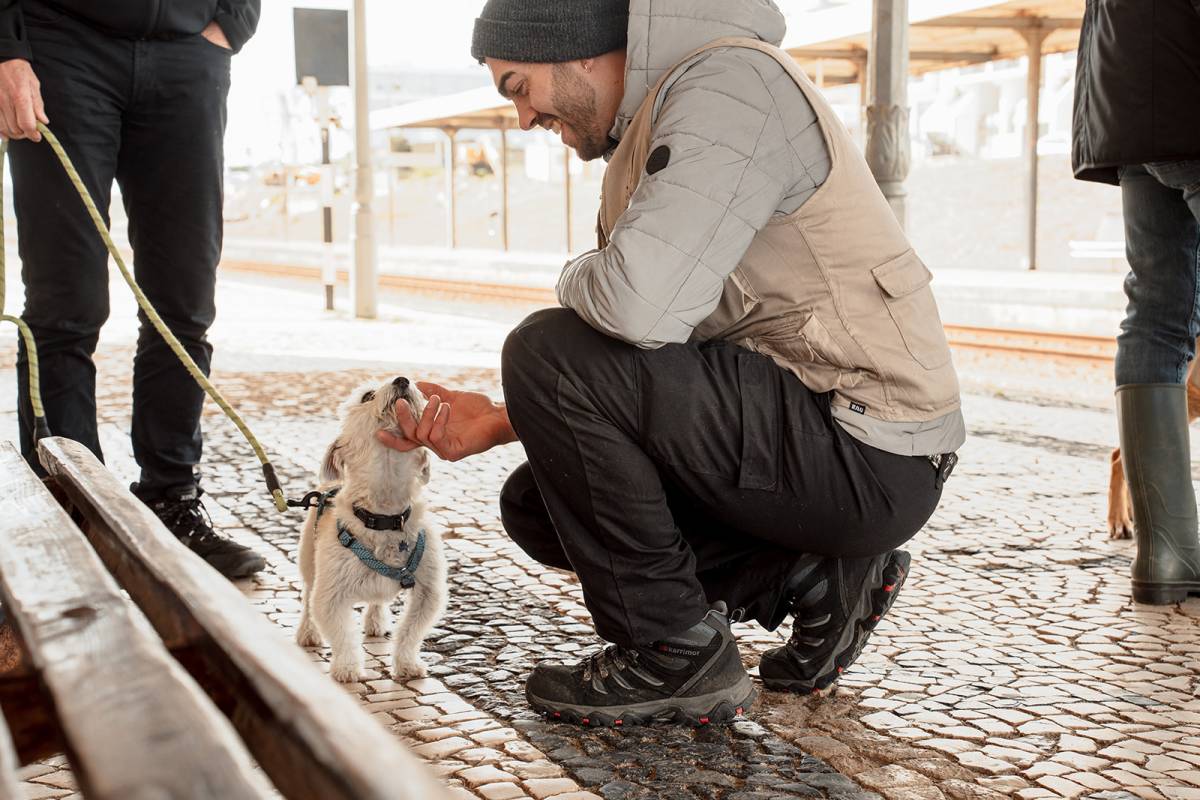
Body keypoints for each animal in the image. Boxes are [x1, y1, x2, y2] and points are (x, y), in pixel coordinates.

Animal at [297, 376, 448, 681]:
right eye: (367, 395)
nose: (402, 379)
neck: (385, 514)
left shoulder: (429, 591)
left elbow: (410, 633)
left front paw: (407, 665)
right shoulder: (330, 595)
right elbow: (342, 636)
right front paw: (347, 669)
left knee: (377, 601)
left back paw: (376, 621)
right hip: (308, 560)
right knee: (307, 597)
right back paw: (307, 632)